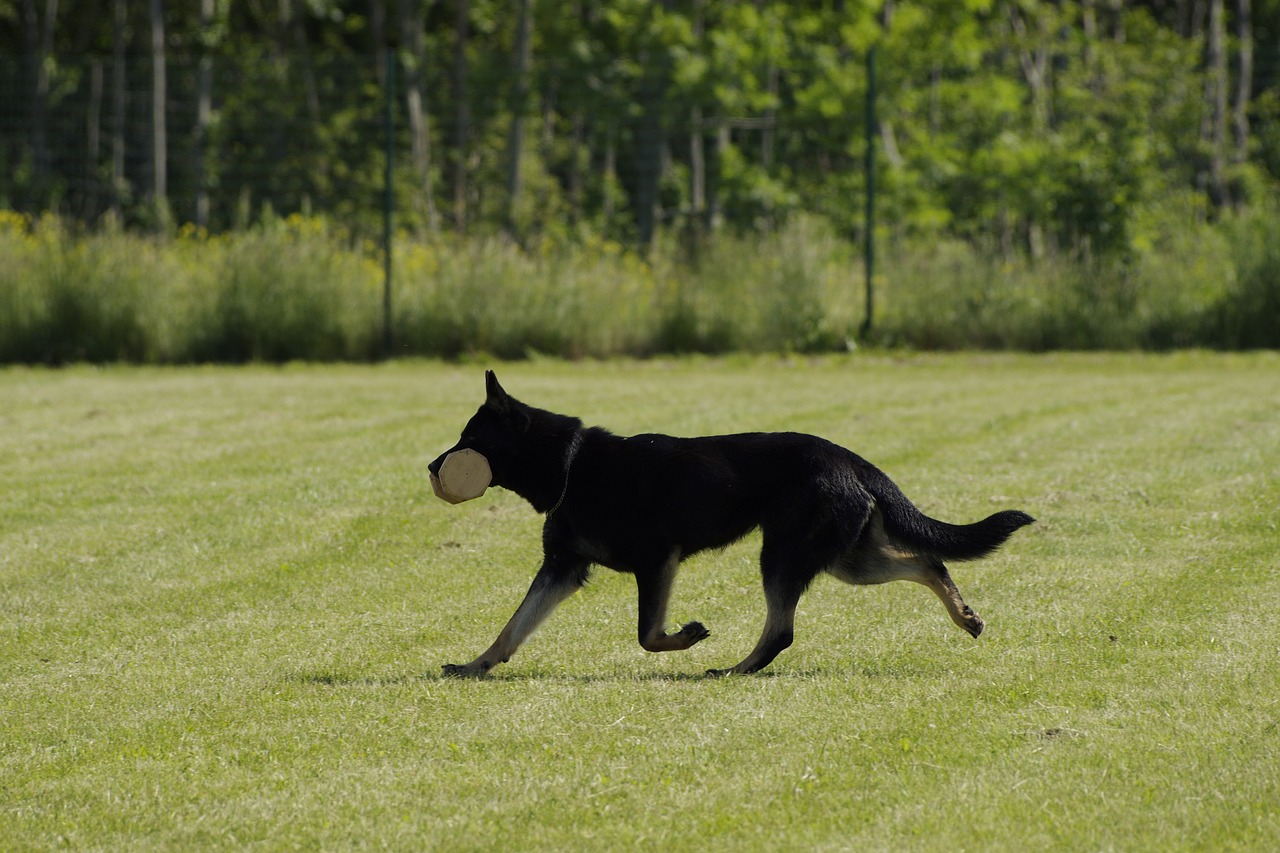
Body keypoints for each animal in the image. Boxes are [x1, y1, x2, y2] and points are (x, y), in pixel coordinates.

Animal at [430, 368, 1029, 676]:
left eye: (470, 439)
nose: (434, 468)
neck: (571, 465)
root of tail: (851, 460)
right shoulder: (562, 568)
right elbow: (513, 625)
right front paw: (477, 665)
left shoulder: (657, 561)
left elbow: (648, 635)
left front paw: (688, 636)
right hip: (846, 559)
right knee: (928, 561)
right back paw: (966, 617)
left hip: (786, 554)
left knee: (783, 628)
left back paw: (735, 668)